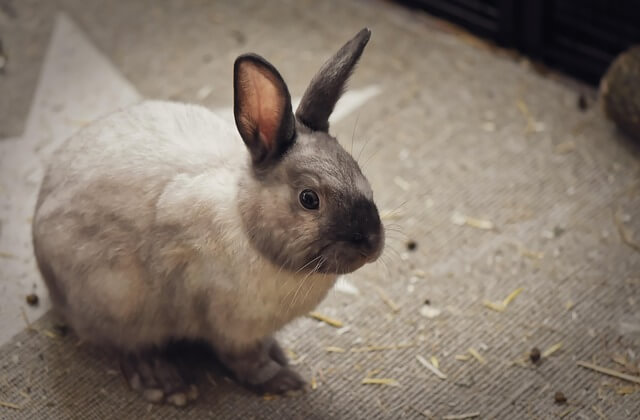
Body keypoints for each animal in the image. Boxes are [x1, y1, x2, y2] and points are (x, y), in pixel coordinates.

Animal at [32, 28, 383, 406]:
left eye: (358, 170)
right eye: (309, 199)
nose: (371, 245)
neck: (246, 223)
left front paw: (280, 358)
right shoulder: (232, 329)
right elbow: (247, 363)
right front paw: (285, 381)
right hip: (116, 298)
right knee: (126, 345)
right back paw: (165, 382)